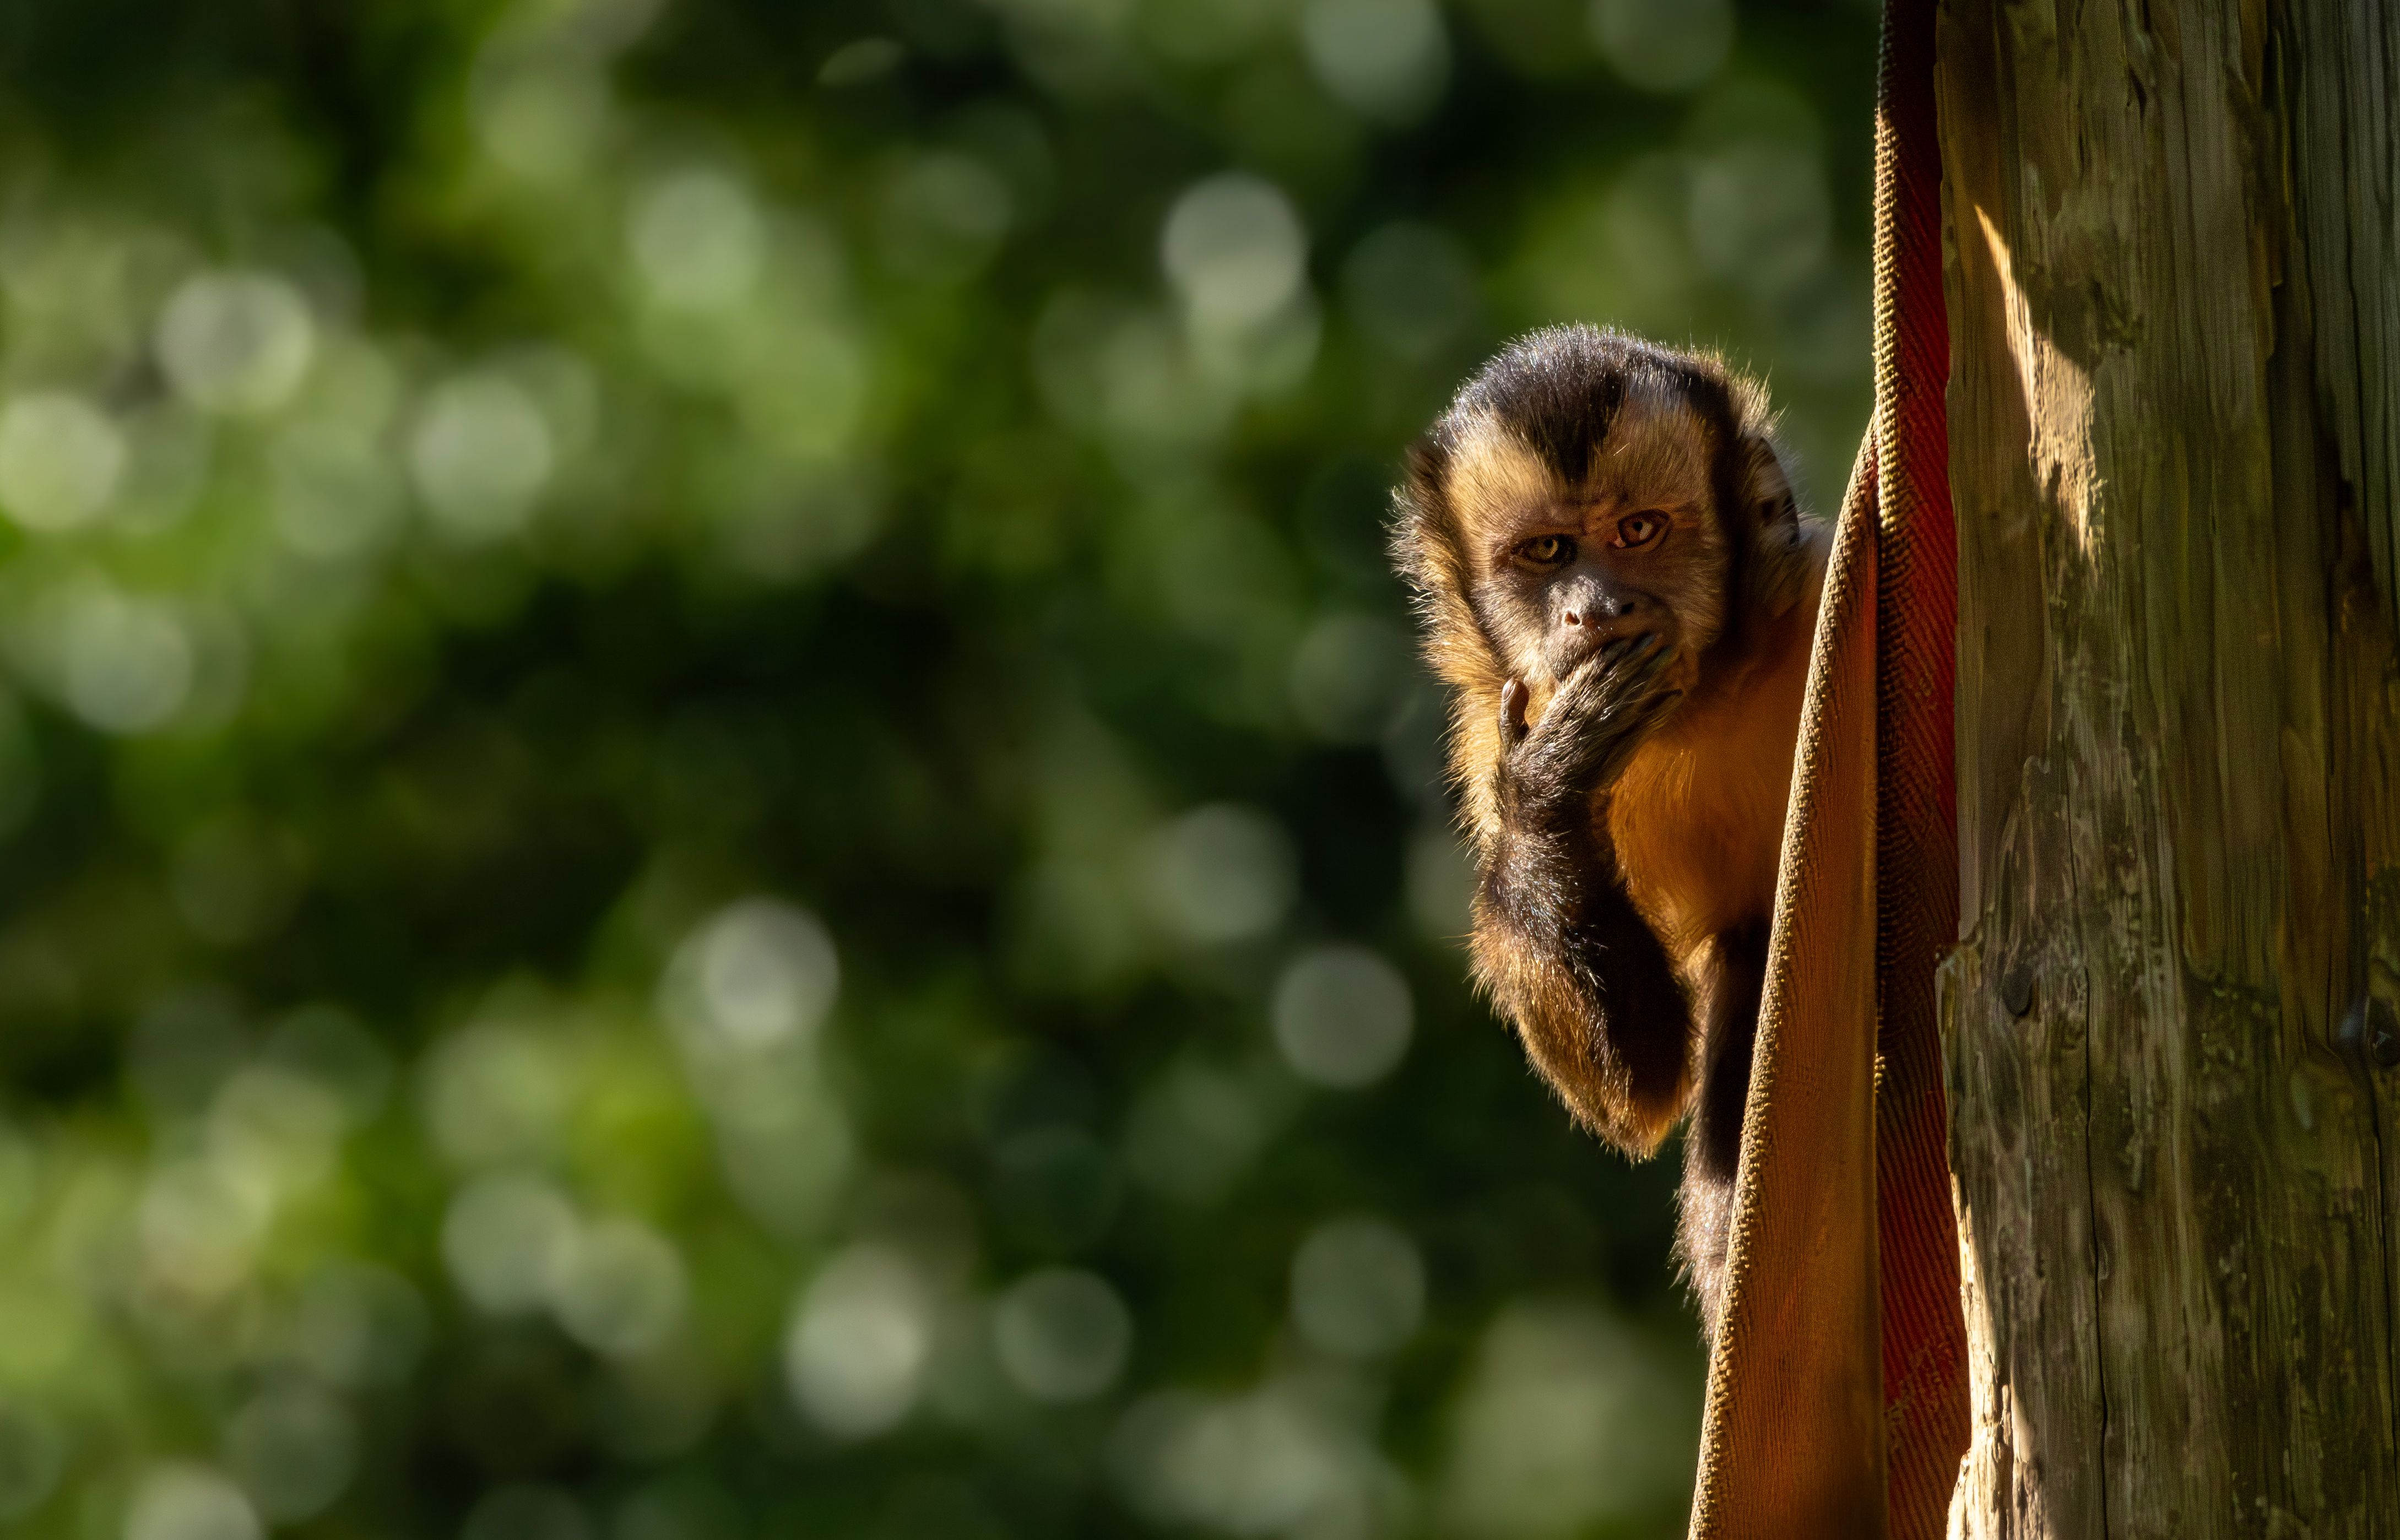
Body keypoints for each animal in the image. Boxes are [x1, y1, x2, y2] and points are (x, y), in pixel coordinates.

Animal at [1389, 325, 1827, 1338]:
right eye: (1547, 552)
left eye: (1638, 532)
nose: (1595, 608)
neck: (1712, 696)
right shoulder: (1488, 732)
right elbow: (1641, 1080)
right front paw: (1555, 780)